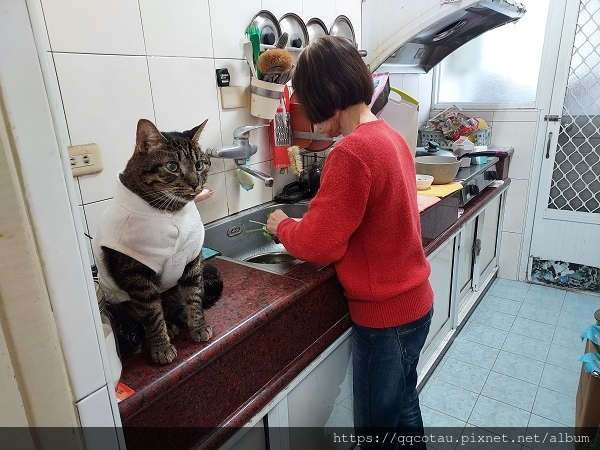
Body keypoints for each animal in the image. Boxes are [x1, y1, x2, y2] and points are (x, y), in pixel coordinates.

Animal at [95, 118, 221, 364]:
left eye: (199, 165)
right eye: (172, 166)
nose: (195, 183)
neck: (170, 212)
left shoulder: (192, 262)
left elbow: (194, 297)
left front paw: (198, 325)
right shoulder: (137, 278)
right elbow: (152, 315)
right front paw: (161, 348)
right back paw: (169, 327)